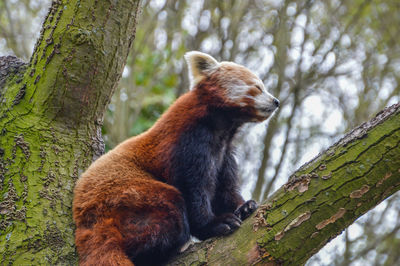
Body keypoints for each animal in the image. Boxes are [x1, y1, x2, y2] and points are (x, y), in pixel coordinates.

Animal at [72, 51, 278, 264]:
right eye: (257, 87)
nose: (276, 102)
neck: (221, 128)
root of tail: (86, 216)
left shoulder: (224, 153)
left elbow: (224, 188)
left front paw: (244, 207)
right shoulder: (189, 143)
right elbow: (194, 189)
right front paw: (216, 224)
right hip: (128, 192)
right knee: (172, 208)